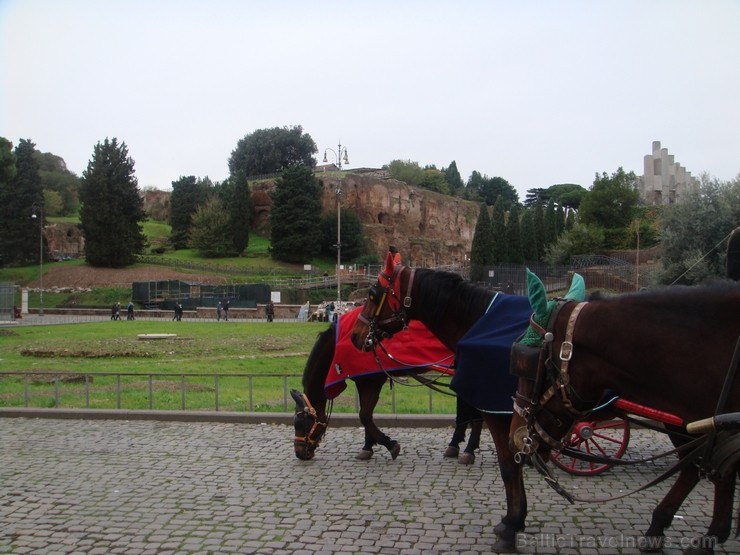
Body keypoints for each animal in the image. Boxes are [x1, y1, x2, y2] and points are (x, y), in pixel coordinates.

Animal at [292, 308, 482, 464]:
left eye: (301, 424)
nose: (299, 452)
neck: (342, 340)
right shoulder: (363, 380)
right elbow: (365, 414)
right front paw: (368, 446)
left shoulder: (373, 380)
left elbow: (365, 415)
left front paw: (389, 444)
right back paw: (456, 444)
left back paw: (469, 448)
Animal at [350, 254, 536, 552]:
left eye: (372, 294)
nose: (355, 335)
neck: (478, 321)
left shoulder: (499, 410)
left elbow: (509, 467)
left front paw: (511, 525)